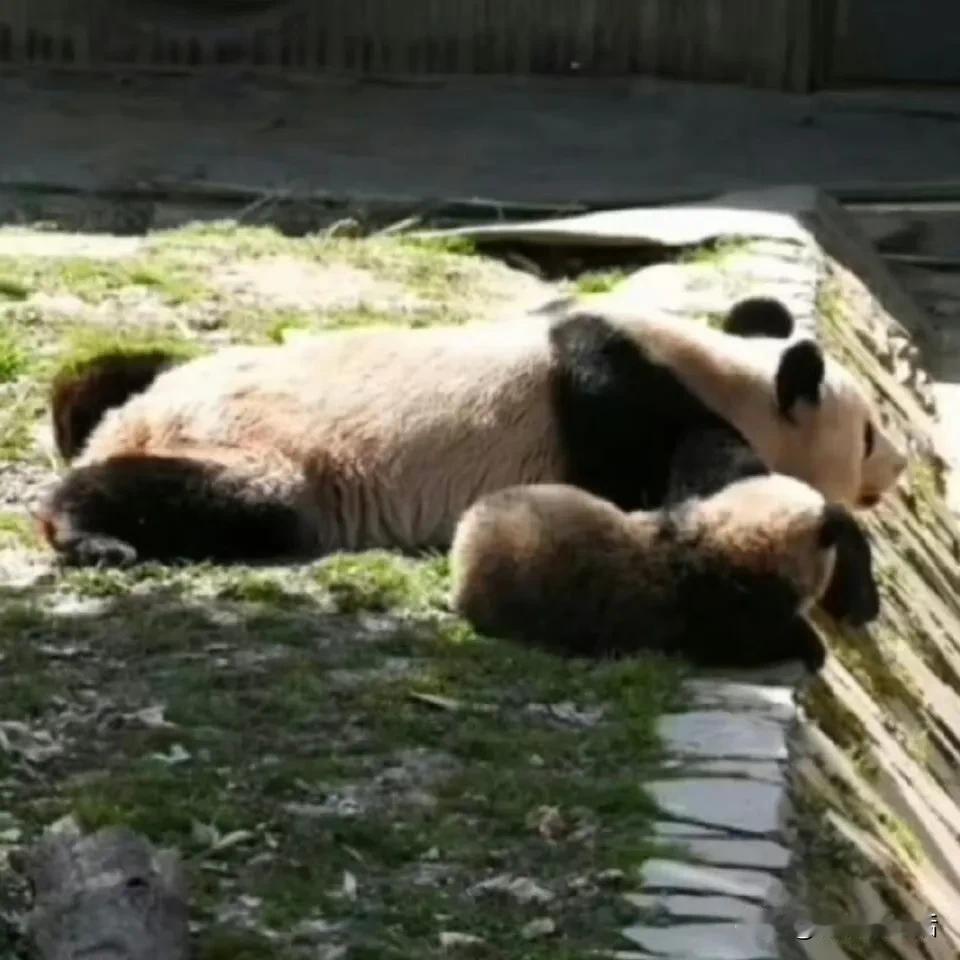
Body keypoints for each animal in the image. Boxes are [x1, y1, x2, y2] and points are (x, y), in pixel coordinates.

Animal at [35, 292, 908, 564]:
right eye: (867, 434)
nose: (899, 466)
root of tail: (128, 422)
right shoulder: (620, 403)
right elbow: (677, 478)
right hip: (260, 446)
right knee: (247, 498)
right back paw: (85, 530)